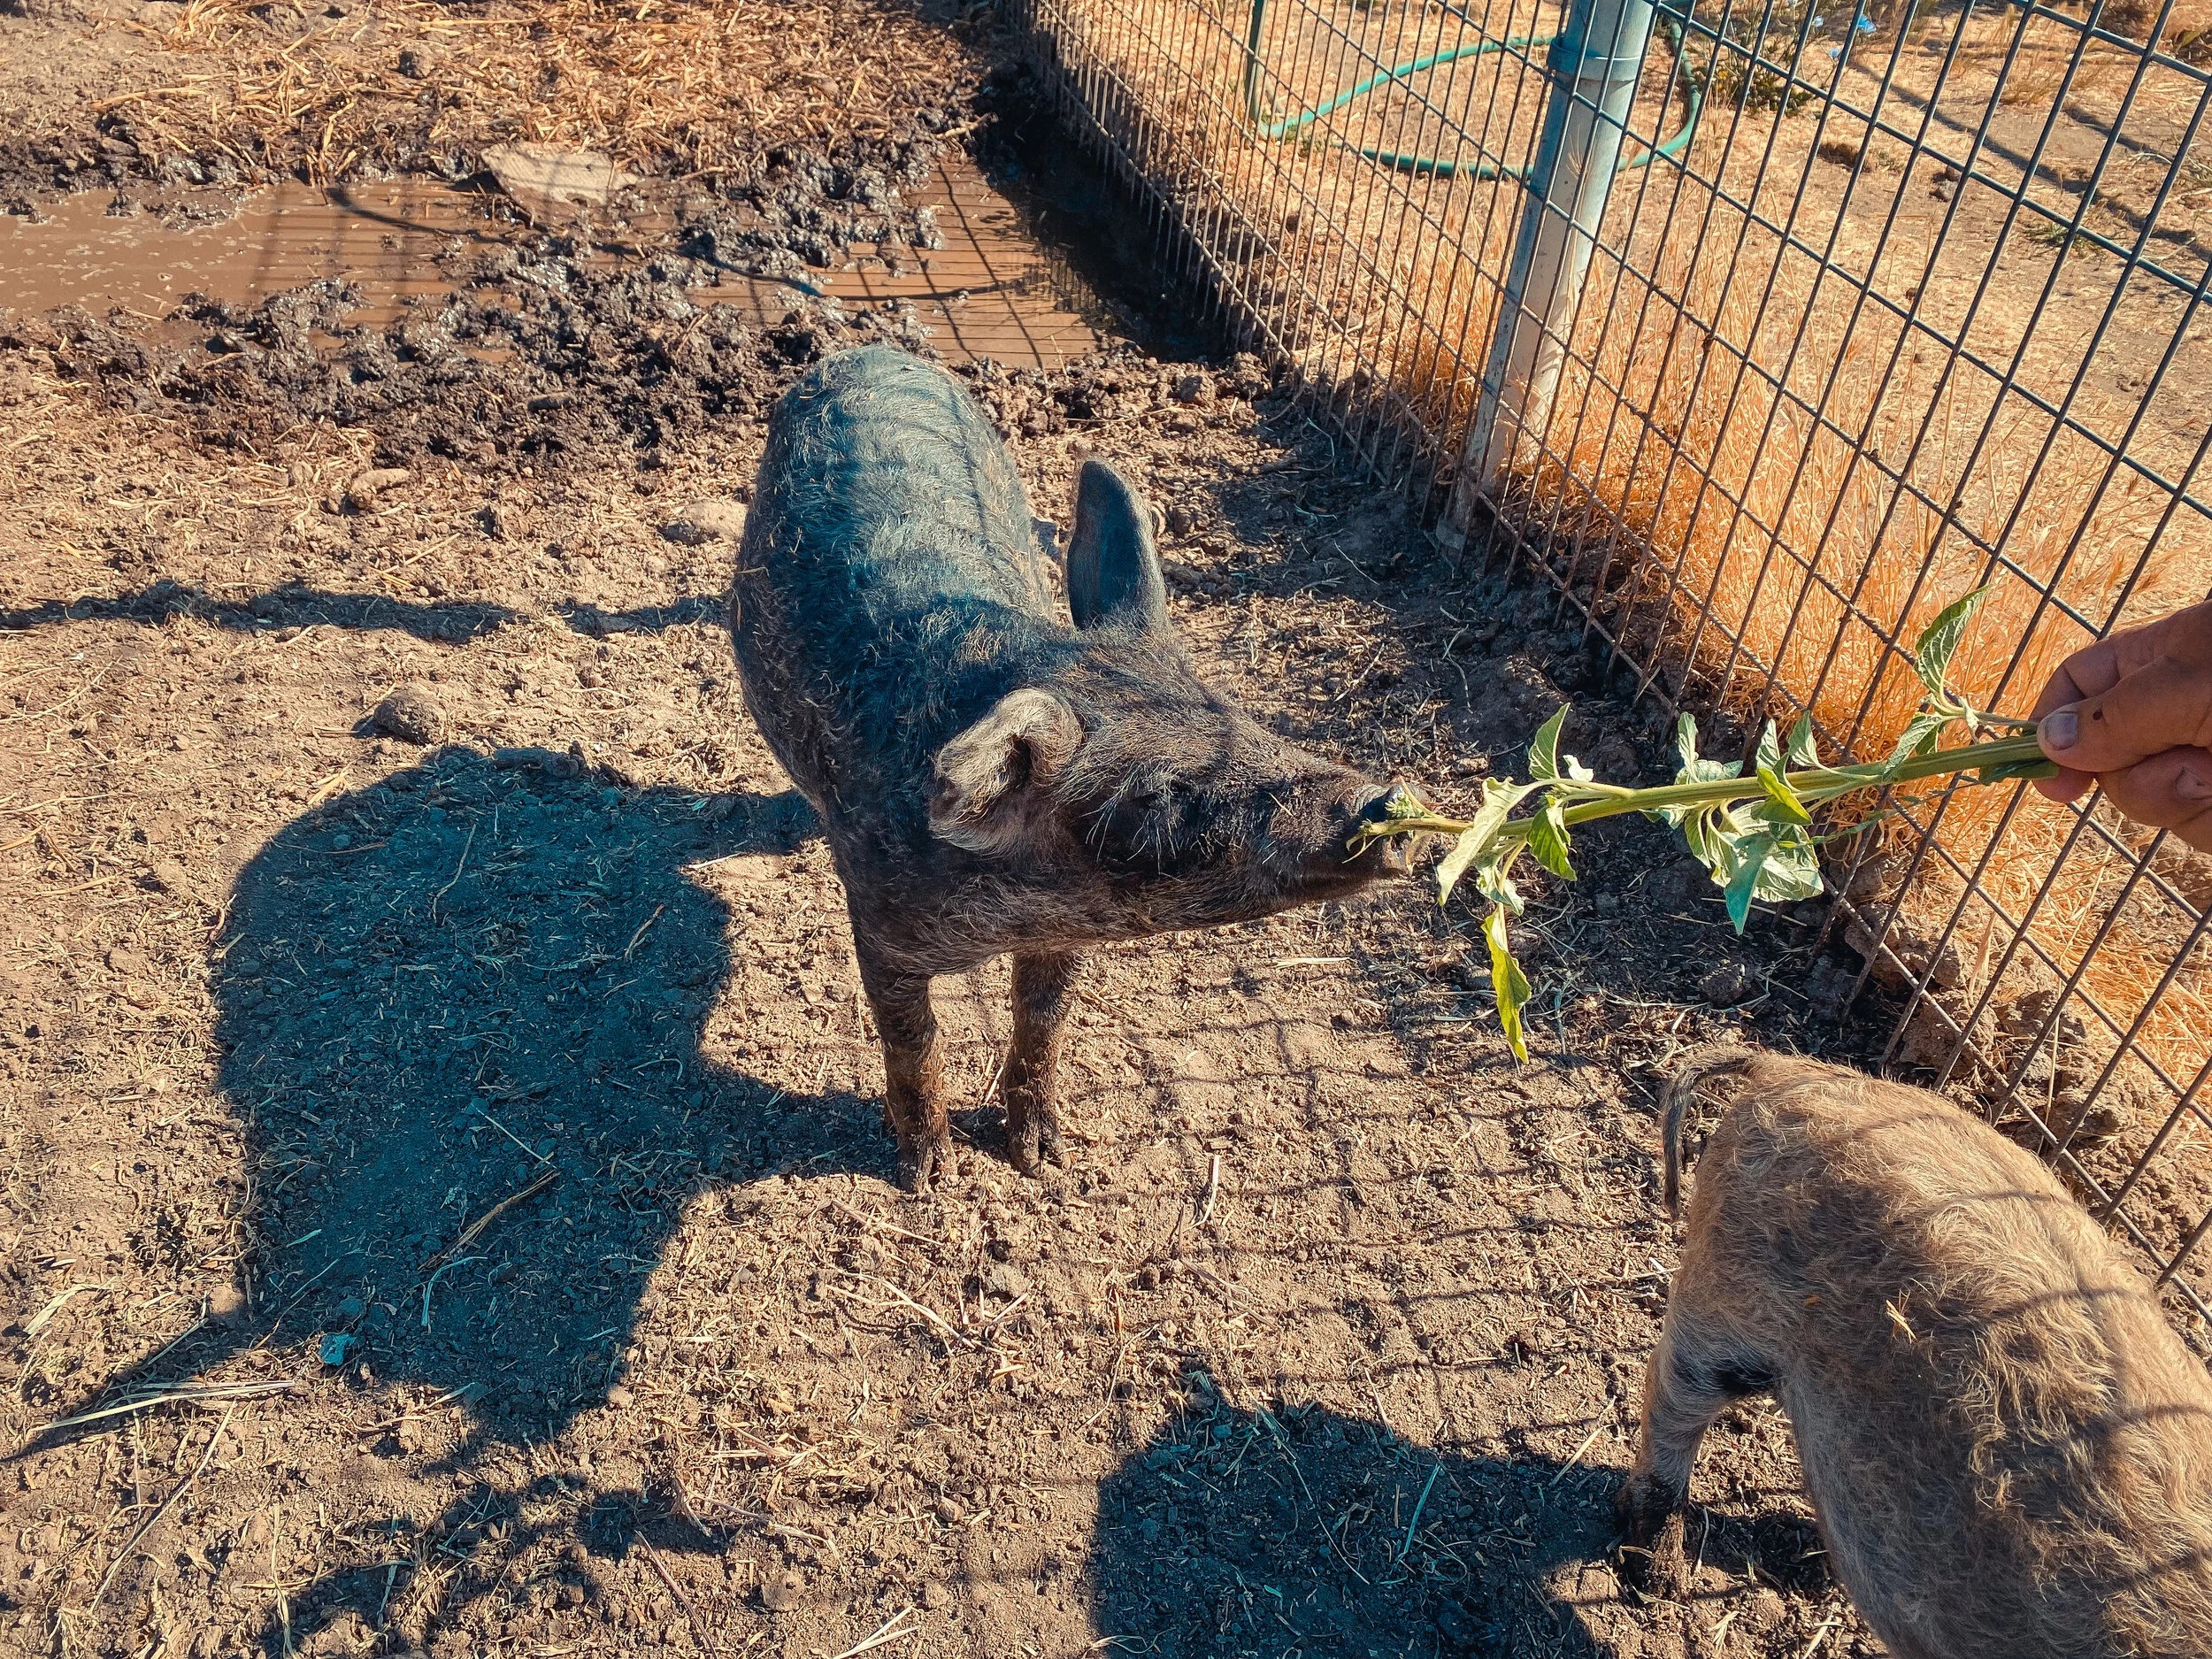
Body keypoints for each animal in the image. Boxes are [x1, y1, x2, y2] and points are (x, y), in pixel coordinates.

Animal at [730, 346, 1411, 1189]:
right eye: (1156, 798)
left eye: (1237, 716)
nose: (1386, 803)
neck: (1006, 915)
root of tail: (872, 351)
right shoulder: (877, 919)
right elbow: (911, 1037)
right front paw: (932, 1175)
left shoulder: (1063, 934)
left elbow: (1044, 1019)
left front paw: (1047, 1159)